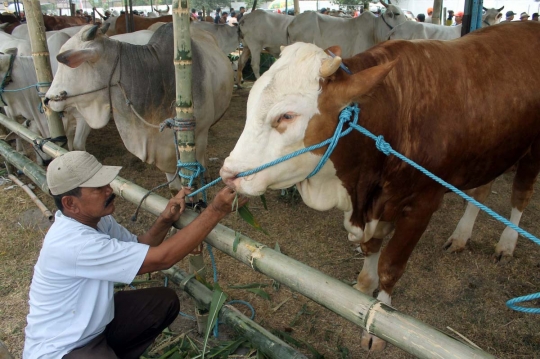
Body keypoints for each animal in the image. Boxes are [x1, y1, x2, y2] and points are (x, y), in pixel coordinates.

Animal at [219, 22, 540, 352]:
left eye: (287, 115)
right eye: (251, 103)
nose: (229, 174)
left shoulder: (421, 205)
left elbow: (390, 267)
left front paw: (379, 324)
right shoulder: (376, 202)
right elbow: (370, 251)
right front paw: (362, 292)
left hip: (532, 151)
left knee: (521, 194)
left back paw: (507, 243)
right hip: (492, 150)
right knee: (480, 191)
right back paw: (461, 236)